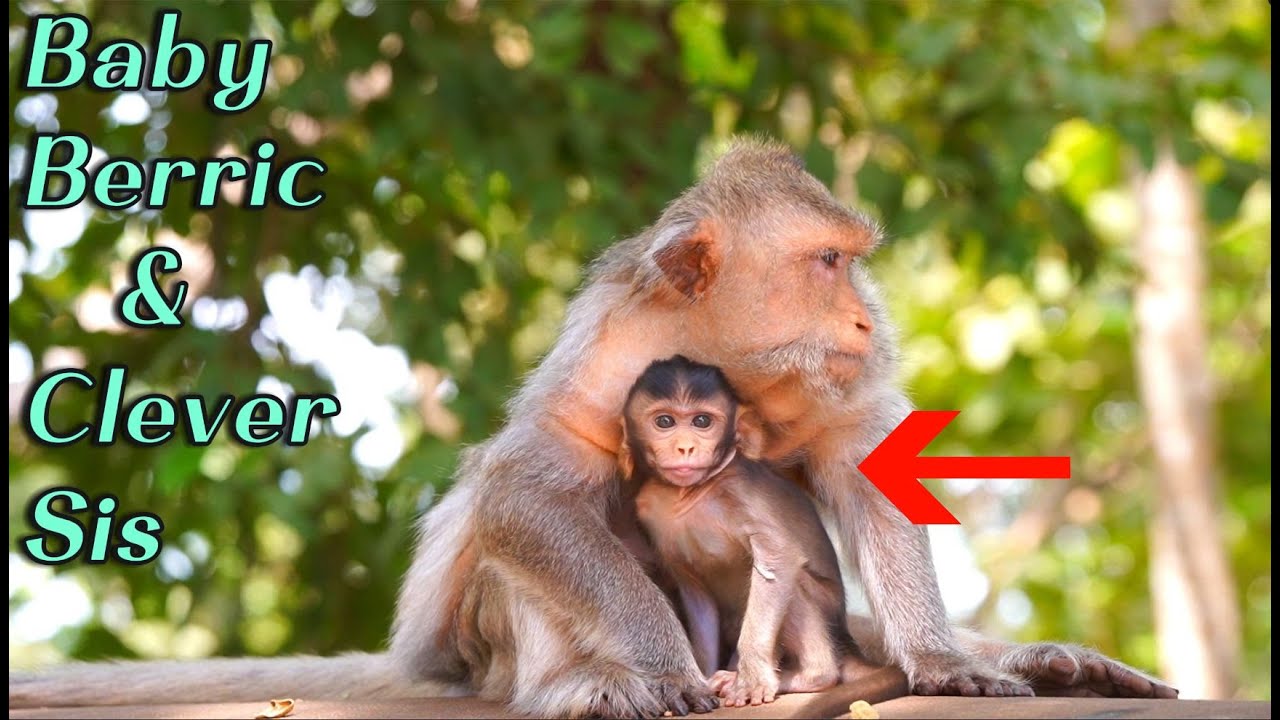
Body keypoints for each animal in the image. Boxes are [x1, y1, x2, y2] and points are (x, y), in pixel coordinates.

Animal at [620, 355, 863, 707]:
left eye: (702, 421)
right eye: (664, 422)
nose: (685, 448)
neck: (690, 494)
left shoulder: (741, 492)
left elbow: (778, 558)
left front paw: (750, 680)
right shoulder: (650, 513)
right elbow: (695, 593)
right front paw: (701, 678)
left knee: (792, 581)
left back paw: (810, 675)